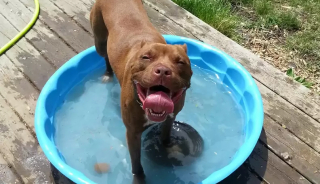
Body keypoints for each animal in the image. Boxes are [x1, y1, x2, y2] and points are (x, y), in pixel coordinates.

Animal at [89, 0, 191, 181]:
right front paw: (139, 178)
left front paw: (169, 150)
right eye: (146, 57)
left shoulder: (170, 118)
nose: (163, 70)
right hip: (100, 41)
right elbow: (136, 162)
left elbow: (165, 137)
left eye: (180, 62)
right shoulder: (133, 133)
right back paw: (108, 74)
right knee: (105, 55)